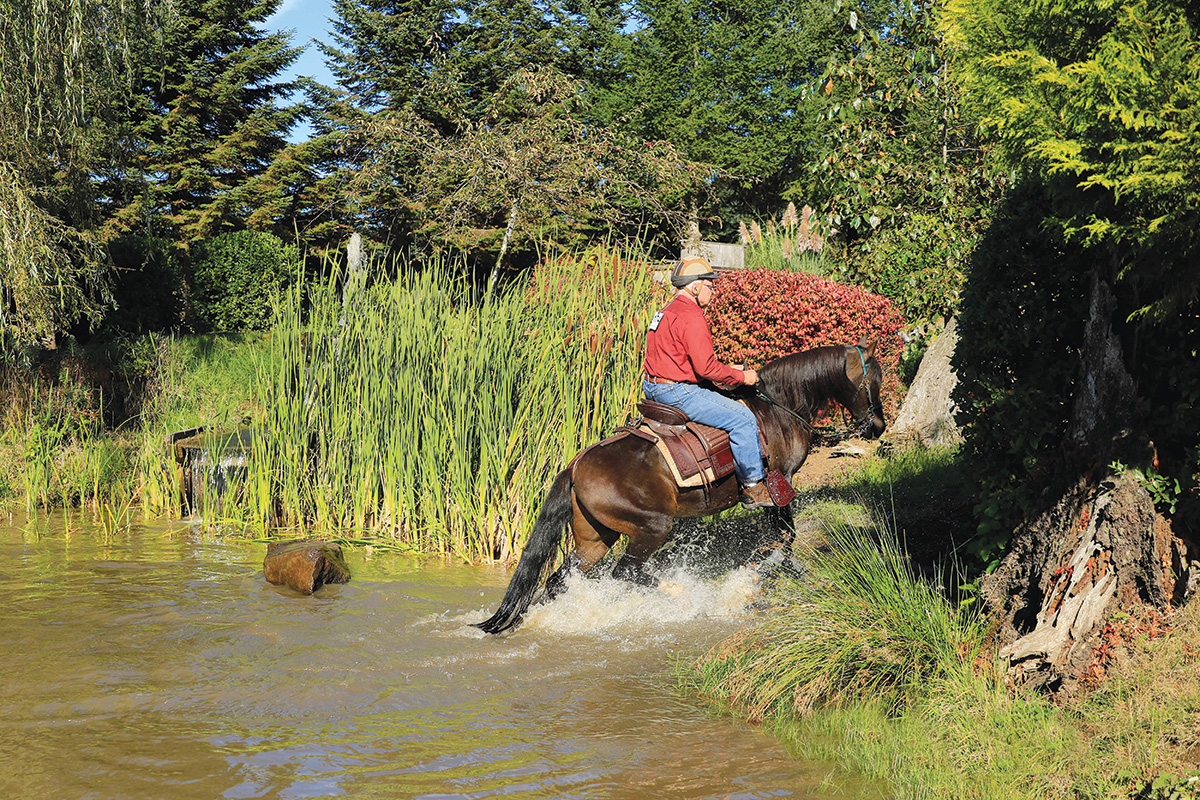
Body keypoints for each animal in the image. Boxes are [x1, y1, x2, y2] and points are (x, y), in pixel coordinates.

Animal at [472, 335, 888, 633]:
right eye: (874, 380)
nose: (878, 426)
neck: (778, 405)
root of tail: (576, 465)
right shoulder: (779, 483)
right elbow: (784, 537)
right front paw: (767, 572)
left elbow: (782, 538)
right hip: (654, 527)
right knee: (627, 572)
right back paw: (681, 595)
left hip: (595, 538)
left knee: (561, 579)